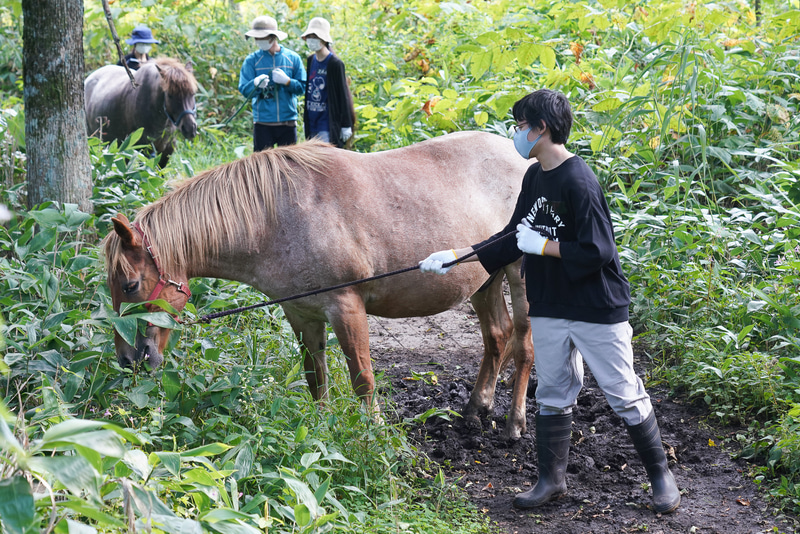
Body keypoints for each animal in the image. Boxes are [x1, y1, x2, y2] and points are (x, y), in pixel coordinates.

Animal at [103, 135, 536, 444]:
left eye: (130, 284)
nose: (127, 359)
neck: (279, 218)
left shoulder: (346, 308)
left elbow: (362, 379)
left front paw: (373, 436)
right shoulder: (302, 314)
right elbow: (316, 378)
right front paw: (322, 428)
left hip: (519, 278)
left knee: (523, 346)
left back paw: (515, 423)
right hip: (484, 281)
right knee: (497, 336)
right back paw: (476, 409)